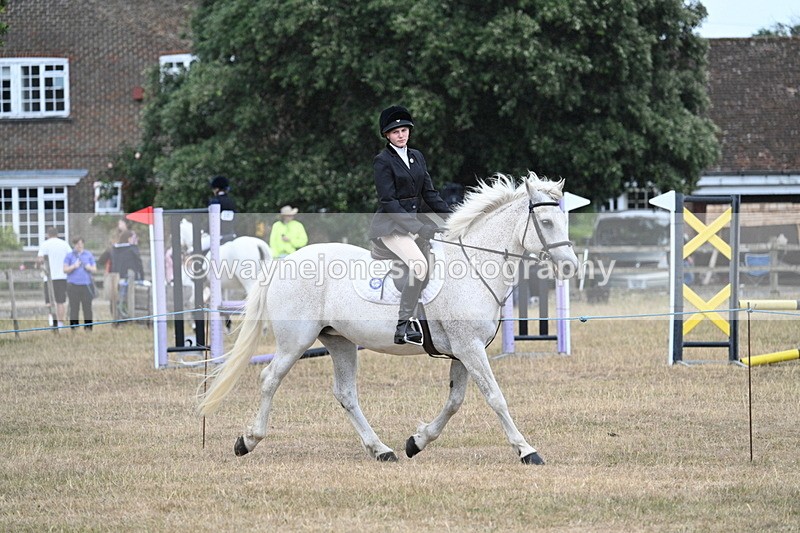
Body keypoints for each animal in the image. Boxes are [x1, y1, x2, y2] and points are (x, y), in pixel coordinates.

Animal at [198, 173, 578, 464]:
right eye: (546, 222)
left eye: (564, 220)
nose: (571, 267)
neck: (474, 267)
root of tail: (283, 263)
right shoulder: (469, 348)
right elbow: (495, 397)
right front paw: (527, 450)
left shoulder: (463, 351)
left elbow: (455, 402)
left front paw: (417, 441)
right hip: (296, 341)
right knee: (269, 379)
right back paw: (247, 441)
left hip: (339, 341)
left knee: (346, 393)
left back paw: (381, 449)